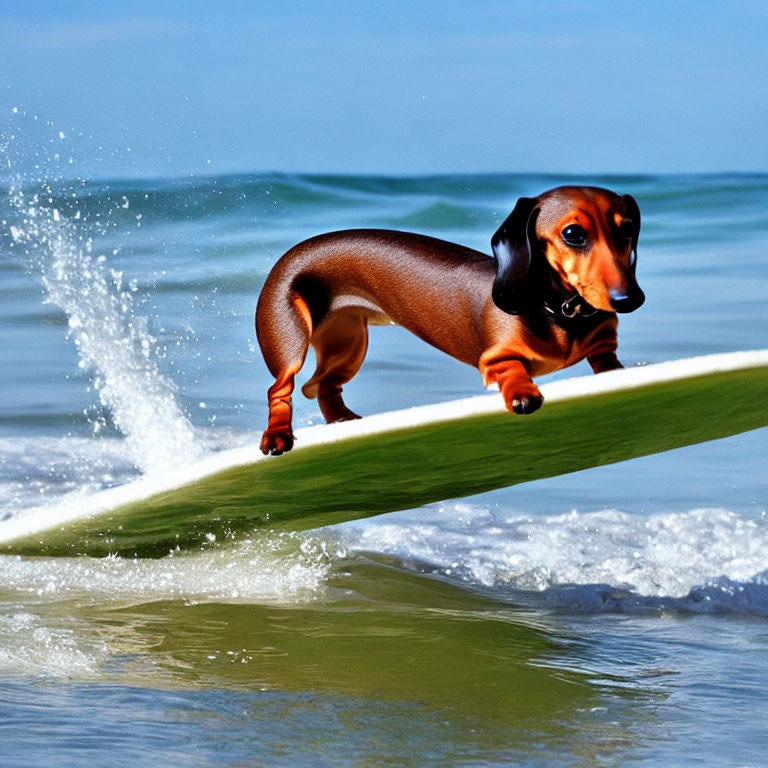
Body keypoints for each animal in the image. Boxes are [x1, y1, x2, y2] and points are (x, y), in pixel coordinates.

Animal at [256, 185, 640, 452]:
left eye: (627, 228)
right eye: (573, 234)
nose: (630, 299)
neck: (560, 311)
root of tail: (289, 253)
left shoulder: (603, 344)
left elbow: (606, 359)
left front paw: (617, 375)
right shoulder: (493, 357)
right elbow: (510, 367)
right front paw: (522, 393)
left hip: (348, 345)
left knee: (325, 386)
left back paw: (344, 421)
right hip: (290, 341)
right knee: (280, 389)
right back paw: (277, 437)